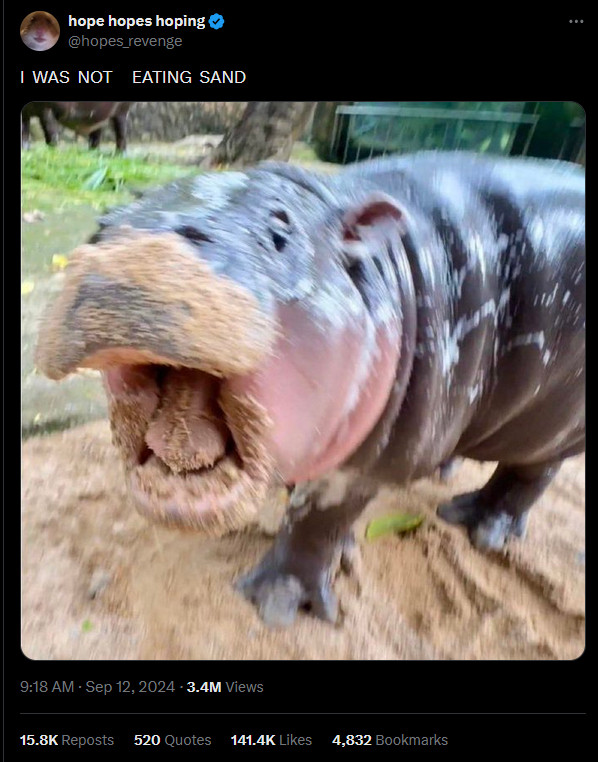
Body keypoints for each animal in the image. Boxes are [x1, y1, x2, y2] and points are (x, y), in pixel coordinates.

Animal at [36, 153, 584, 624]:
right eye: (106, 219)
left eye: (280, 232)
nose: (136, 248)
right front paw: (341, 552)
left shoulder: (364, 464)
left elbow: (317, 521)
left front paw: (274, 605)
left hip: (552, 422)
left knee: (531, 473)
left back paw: (476, 525)